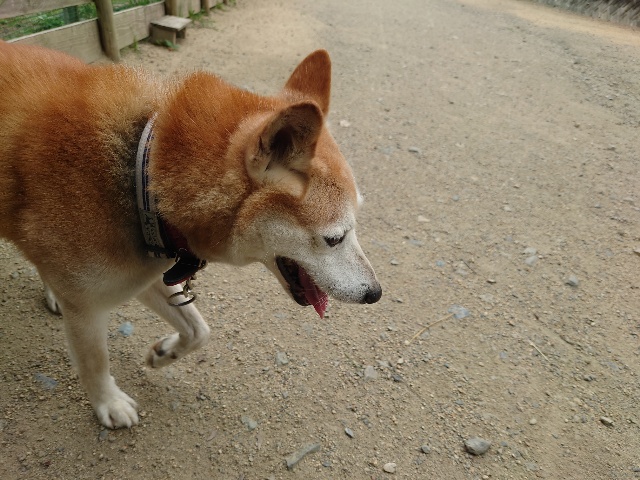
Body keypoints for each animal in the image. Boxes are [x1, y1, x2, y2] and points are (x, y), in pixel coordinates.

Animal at [0, 42, 381, 429]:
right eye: (334, 238)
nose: (375, 293)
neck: (144, 177)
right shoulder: (86, 306)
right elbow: (95, 362)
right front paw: (108, 403)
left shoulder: (145, 272)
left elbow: (199, 330)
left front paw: (165, 353)